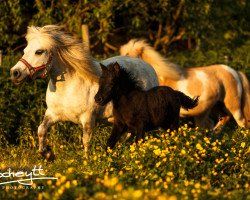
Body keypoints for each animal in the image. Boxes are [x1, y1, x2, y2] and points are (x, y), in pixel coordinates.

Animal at [10, 25, 158, 159]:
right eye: (25, 50)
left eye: (39, 51)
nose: (15, 73)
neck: (67, 89)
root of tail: (149, 68)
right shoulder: (53, 114)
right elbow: (41, 130)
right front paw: (48, 154)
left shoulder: (88, 119)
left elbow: (86, 142)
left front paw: (87, 162)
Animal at [120, 38, 249, 131]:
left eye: (129, 55)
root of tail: (235, 72)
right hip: (216, 106)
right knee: (221, 120)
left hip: (233, 105)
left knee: (242, 123)